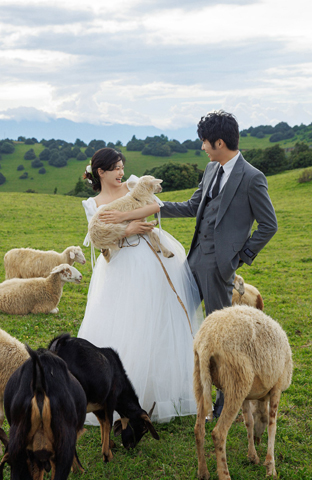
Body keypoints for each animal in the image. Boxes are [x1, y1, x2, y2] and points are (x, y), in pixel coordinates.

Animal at [48, 334, 161, 462]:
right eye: (143, 427)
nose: (130, 446)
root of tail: (58, 346)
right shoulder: (110, 399)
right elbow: (108, 424)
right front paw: (107, 455)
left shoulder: (98, 405)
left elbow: (102, 423)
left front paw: (108, 446)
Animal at [193, 306, 292, 478]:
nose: (258, 440)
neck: (261, 399)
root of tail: (207, 341)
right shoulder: (277, 388)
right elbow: (272, 426)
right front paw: (270, 467)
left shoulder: (247, 395)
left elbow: (249, 421)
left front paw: (253, 456)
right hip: (236, 381)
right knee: (218, 433)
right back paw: (225, 475)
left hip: (202, 379)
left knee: (199, 429)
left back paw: (203, 472)